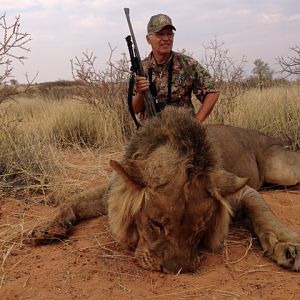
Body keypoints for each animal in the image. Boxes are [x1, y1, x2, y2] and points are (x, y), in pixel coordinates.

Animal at [31, 106, 300, 274]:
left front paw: (288, 245)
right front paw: (47, 228)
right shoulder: (112, 191)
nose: (175, 271)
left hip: (282, 170)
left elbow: (263, 213)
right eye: (156, 225)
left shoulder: (238, 190)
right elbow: (73, 199)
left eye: (200, 228)